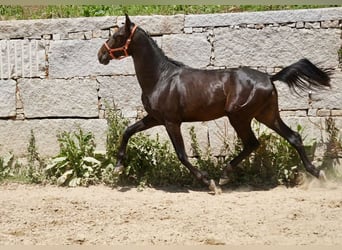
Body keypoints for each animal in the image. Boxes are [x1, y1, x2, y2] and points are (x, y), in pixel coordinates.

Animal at [98, 13, 332, 192]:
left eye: (118, 36)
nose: (101, 55)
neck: (161, 78)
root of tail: (269, 77)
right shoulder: (155, 118)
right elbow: (128, 131)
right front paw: (118, 167)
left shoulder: (171, 122)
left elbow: (182, 154)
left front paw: (209, 182)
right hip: (266, 115)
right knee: (293, 137)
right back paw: (317, 173)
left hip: (239, 117)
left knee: (253, 143)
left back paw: (223, 176)